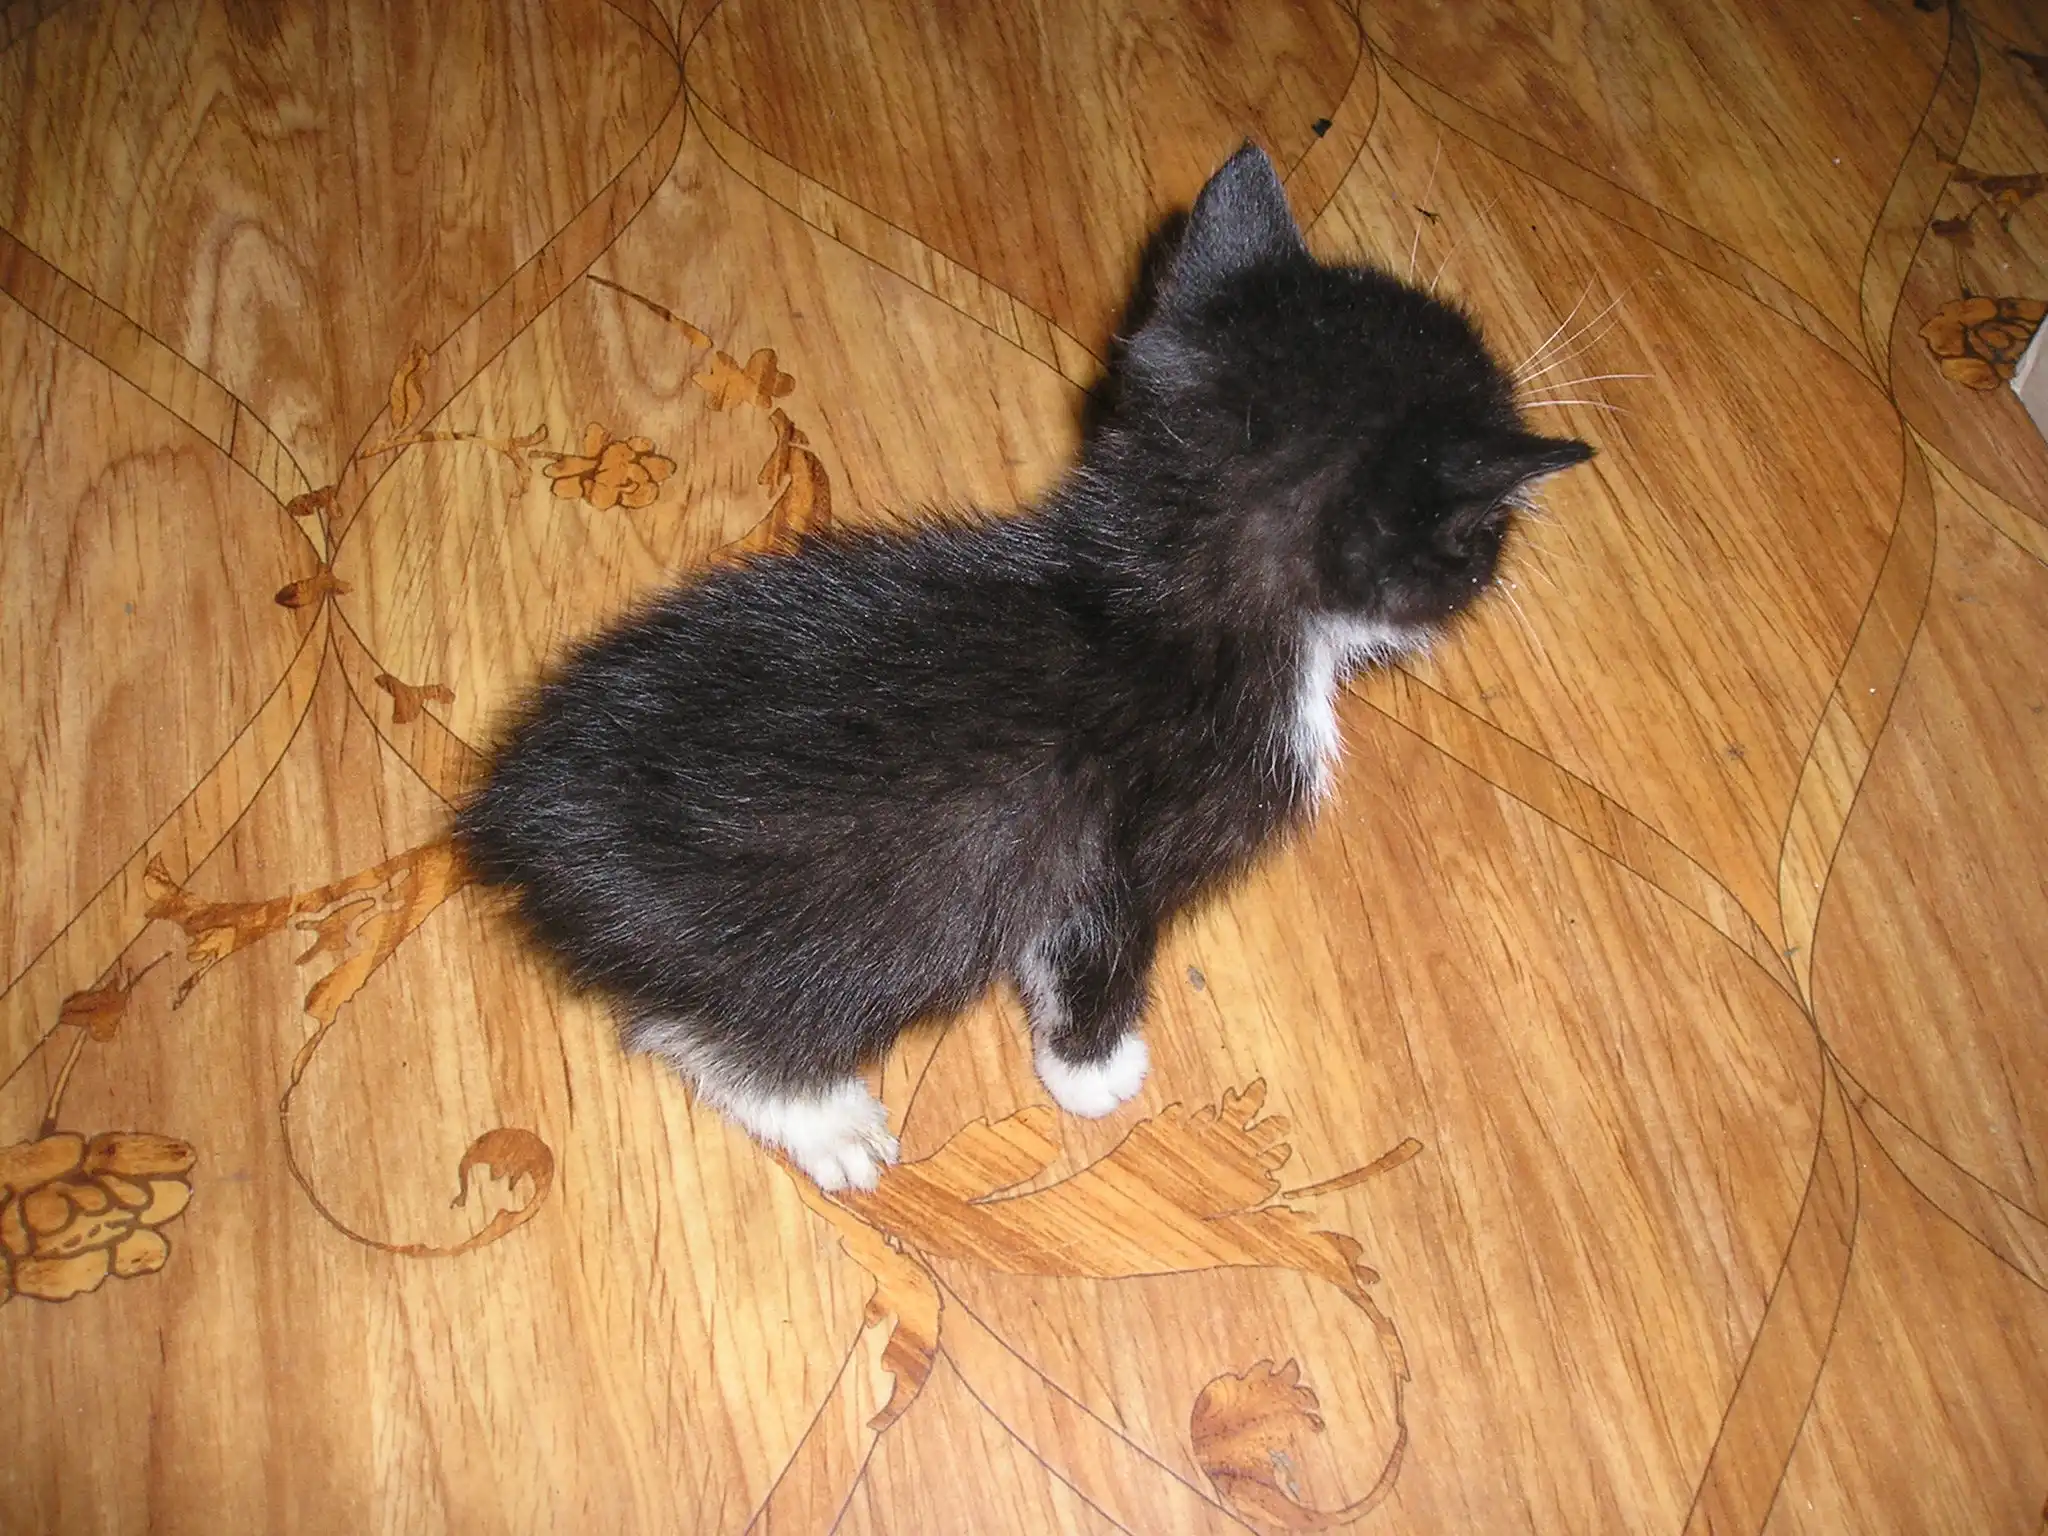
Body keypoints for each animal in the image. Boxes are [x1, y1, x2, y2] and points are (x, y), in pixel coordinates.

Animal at [456, 143, 1593, 1191]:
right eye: (1482, 537)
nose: (1501, 565)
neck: (1168, 584)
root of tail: (522, 819)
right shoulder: (1123, 849)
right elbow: (1089, 953)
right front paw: (1094, 1071)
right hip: (825, 931)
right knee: (712, 1026)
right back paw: (826, 1119)